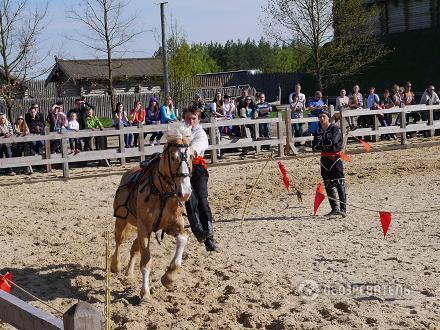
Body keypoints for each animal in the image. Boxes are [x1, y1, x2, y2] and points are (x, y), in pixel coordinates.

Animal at [111, 125, 192, 300]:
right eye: (173, 157)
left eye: (192, 156)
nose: (185, 192)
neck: (161, 193)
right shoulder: (144, 227)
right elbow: (146, 261)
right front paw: (145, 292)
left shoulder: (172, 226)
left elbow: (183, 239)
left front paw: (169, 277)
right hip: (122, 220)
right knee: (119, 241)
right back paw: (115, 266)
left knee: (134, 248)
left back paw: (128, 272)